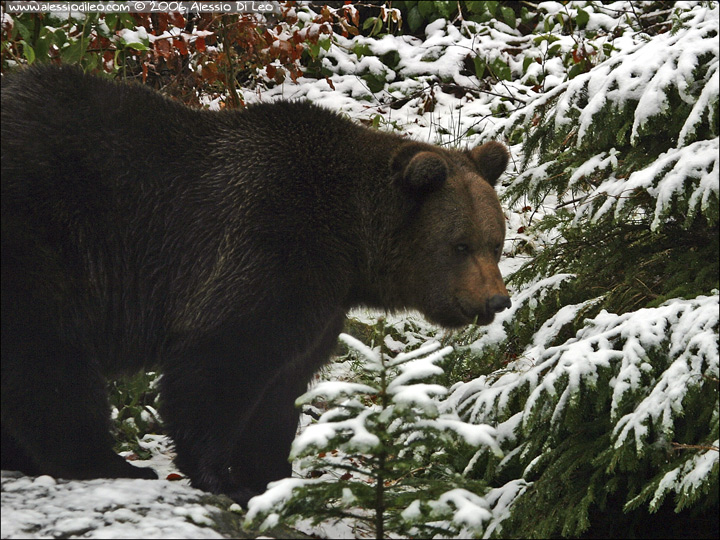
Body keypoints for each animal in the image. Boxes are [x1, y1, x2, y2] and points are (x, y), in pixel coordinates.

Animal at [0, 64, 510, 506]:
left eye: (495, 242)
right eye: (460, 245)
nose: (497, 299)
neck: (351, 241)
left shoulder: (322, 302)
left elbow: (281, 391)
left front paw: (273, 477)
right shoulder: (270, 244)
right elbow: (220, 364)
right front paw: (222, 478)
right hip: (44, 236)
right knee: (47, 355)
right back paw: (105, 463)